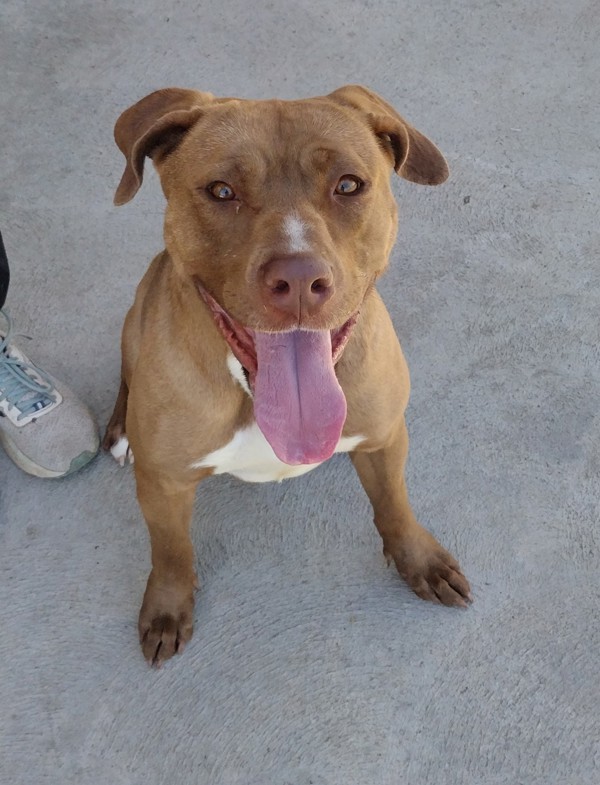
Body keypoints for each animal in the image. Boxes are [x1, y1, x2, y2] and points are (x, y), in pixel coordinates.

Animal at [102, 84, 468, 660]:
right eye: (222, 190)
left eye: (348, 184)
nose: (298, 279)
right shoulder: (163, 484)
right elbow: (171, 550)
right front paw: (166, 607)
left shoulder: (385, 438)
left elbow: (394, 506)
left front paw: (420, 560)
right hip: (135, 316)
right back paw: (120, 432)